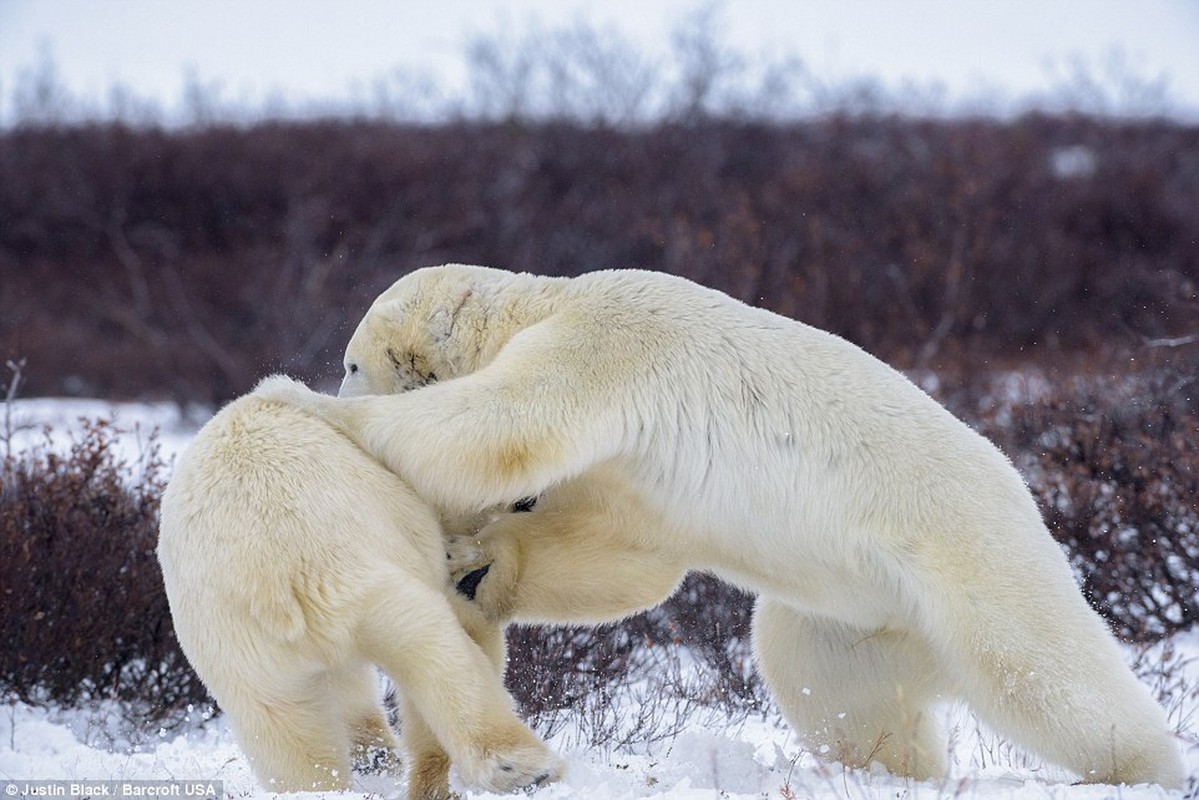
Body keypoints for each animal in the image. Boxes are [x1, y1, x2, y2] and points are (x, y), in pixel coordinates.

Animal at [154, 383, 561, 796]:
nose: (530, 498)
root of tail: (278, 586)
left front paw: (376, 755)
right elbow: (471, 624)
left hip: (239, 652)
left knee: (283, 732)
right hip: (359, 579)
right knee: (434, 651)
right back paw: (522, 767)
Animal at [257, 263, 1184, 786]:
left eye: (350, 361)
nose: (333, 379)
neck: (543, 303)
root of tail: (1026, 497)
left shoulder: (605, 345)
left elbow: (502, 423)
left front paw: (295, 400)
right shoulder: (628, 472)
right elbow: (625, 553)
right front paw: (475, 569)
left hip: (970, 562)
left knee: (1045, 677)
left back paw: (1144, 768)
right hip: (857, 614)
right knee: (829, 685)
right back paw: (886, 769)